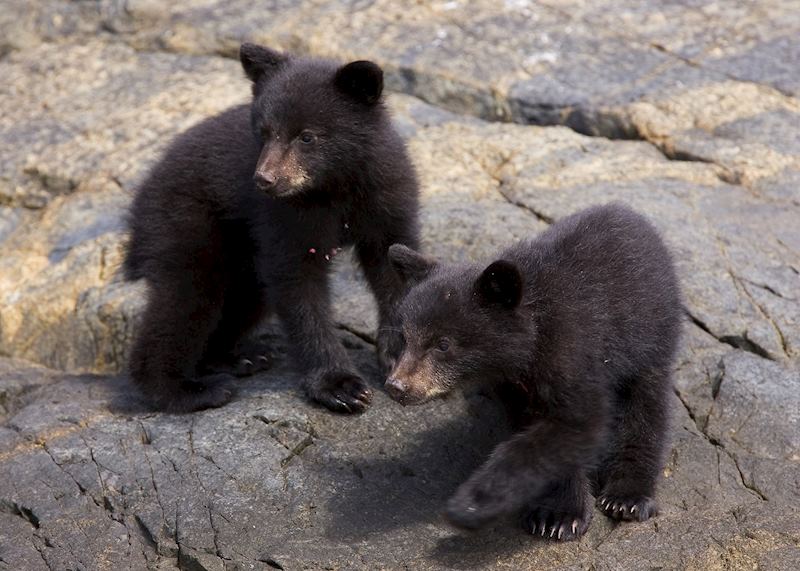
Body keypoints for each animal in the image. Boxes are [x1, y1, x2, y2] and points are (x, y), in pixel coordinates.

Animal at [123, 43, 419, 413]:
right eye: (264, 132)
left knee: (244, 296)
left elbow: (394, 267)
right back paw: (190, 389)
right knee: (186, 297)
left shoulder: (386, 197)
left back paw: (237, 358)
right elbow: (297, 282)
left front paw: (396, 356)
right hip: (184, 220)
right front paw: (340, 386)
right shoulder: (284, 216)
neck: (336, 186)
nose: (265, 179)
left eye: (307, 136)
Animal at [384, 203, 682, 540]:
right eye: (404, 337)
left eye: (443, 344)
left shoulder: (573, 352)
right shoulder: (514, 387)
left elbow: (576, 424)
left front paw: (474, 504)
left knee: (646, 406)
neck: (533, 338)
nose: (397, 386)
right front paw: (555, 514)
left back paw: (627, 497)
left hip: (650, 335)